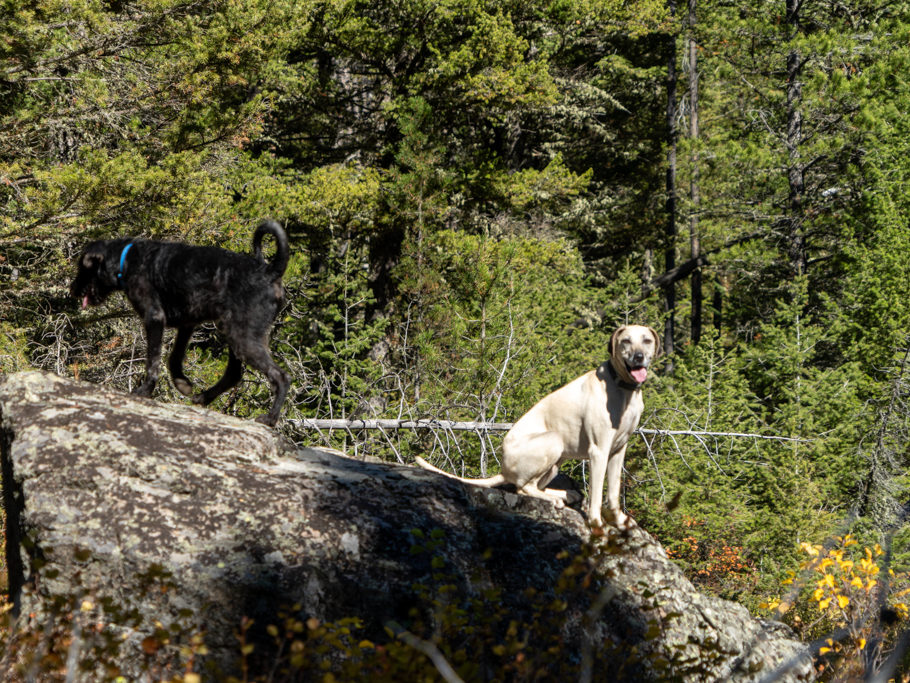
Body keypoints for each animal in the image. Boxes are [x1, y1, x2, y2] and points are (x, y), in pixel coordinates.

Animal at [72, 219, 290, 424]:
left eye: (83, 268)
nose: (72, 290)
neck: (127, 258)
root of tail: (271, 272)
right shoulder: (187, 324)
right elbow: (174, 358)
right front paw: (182, 383)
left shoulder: (154, 317)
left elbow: (153, 361)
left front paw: (145, 391)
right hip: (235, 333)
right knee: (234, 374)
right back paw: (203, 397)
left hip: (243, 338)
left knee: (281, 376)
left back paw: (270, 419)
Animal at [416, 326, 664, 528]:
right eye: (626, 341)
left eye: (646, 340)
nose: (639, 357)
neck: (623, 388)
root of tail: (503, 468)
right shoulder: (599, 451)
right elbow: (597, 493)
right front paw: (596, 523)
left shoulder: (618, 450)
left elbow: (613, 492)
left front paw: (618, 520)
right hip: (553, 441)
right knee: (523, 487)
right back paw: (556, 498)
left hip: (557, 461)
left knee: (535, 486)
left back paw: (565, 494)